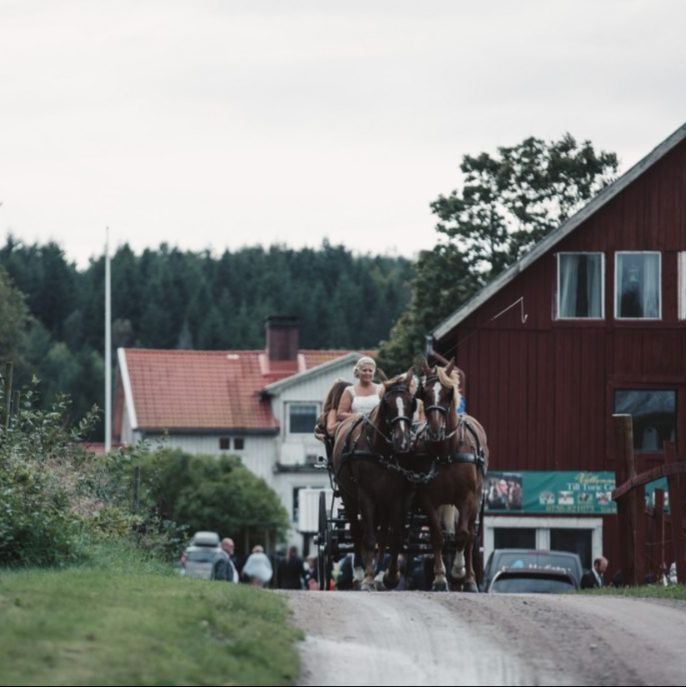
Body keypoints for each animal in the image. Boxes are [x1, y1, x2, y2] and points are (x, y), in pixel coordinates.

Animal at [332, 370, 414, 592]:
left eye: (412, 402)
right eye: (386, 404)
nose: (402, 442)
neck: (381, 450)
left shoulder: (396, 497)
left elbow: (394, 538)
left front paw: (390, 577)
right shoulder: (366, 495)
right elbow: (368, 538)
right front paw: (368, 578)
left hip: (383, 502)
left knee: (382, 533)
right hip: (349, 496)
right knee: (356, 530)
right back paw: (361, 572)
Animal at [414, 360, 490, 592]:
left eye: (449, 393)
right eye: (424, 393)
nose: (436, 430)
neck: (446, 451)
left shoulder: (467, 498)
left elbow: (463, 535)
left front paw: (458, 571)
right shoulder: (427, 499)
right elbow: (438, 537)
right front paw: (440, 578)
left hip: (475, 501)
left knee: (470, 536)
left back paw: (470, 579)